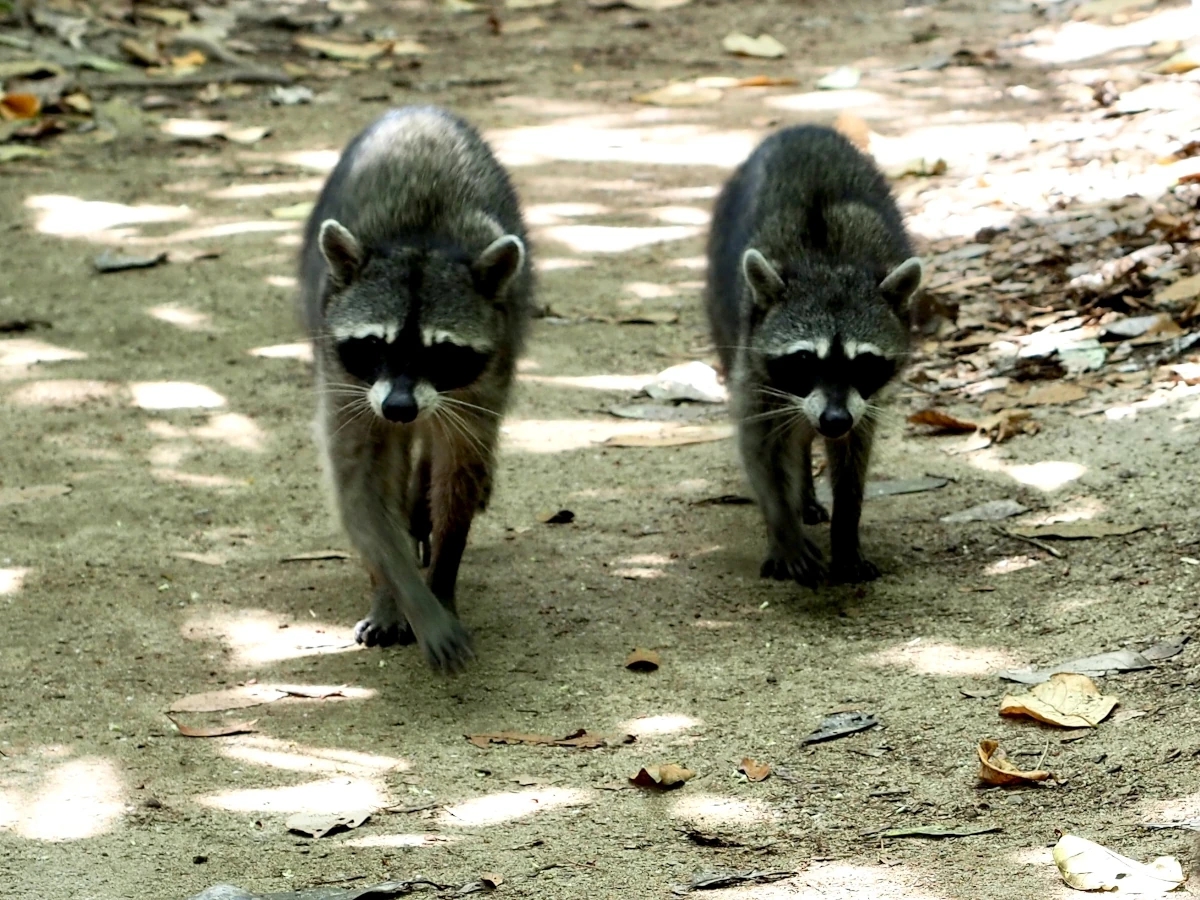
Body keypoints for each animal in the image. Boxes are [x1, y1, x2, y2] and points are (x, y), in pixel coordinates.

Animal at [297, 107, 532, 672]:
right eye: (374, 344)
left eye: (439, 351)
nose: (400, 407)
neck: (420, 240)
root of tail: (422, 110)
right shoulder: (346, 382)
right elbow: (362, 494)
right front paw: (399, 593)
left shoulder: (483, 381)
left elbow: (459, 474)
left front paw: (442, 580)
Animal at [700, 127, 926, 588]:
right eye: (805, 360)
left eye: (864, 362)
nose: (833, 420)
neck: (829, 264)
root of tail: (801, 128)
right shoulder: (754, 366)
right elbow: (761, 447)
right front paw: (783, 529)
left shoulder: (862, 402)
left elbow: (855, 453)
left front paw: (846, 530)